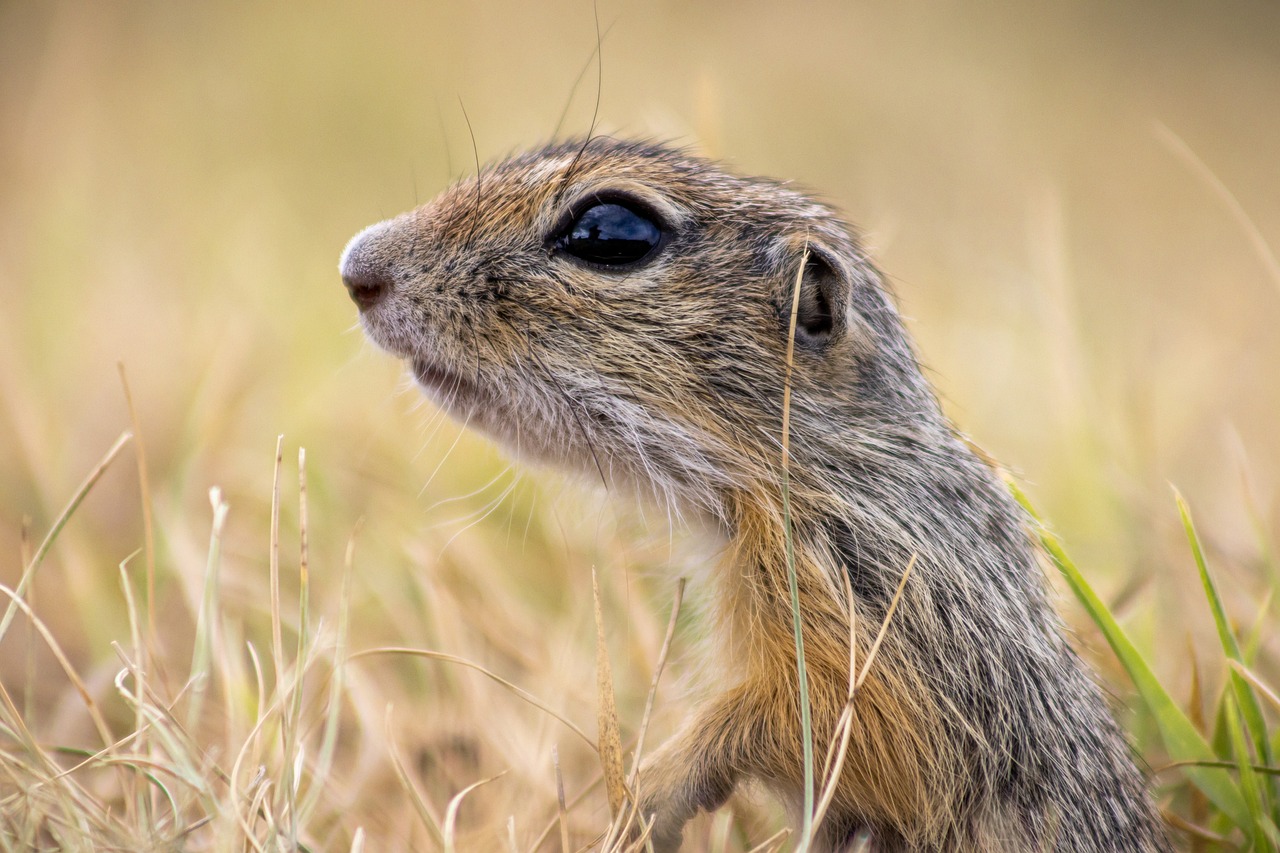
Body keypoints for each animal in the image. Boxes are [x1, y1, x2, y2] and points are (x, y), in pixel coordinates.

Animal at [340, 139, 1172, 850]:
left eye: (610, 231)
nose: (357, 266)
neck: (825, 468)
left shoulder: (880, 612)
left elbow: (839, 724)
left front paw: (649, 787)